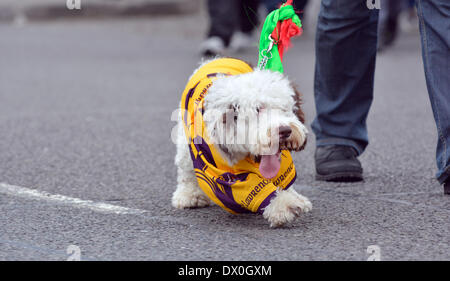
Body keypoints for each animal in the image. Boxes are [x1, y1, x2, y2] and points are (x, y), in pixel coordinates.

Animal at [173, 58, 312, 226]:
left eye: (286, 108)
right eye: (258, 109)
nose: (285, 130)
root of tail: (214, 59)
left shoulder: (283, 164)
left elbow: (282, 178)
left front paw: (293, 197)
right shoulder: (217, 171)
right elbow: (249, 189)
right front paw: (284, 206)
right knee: (185, 168)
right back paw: (188, 195)